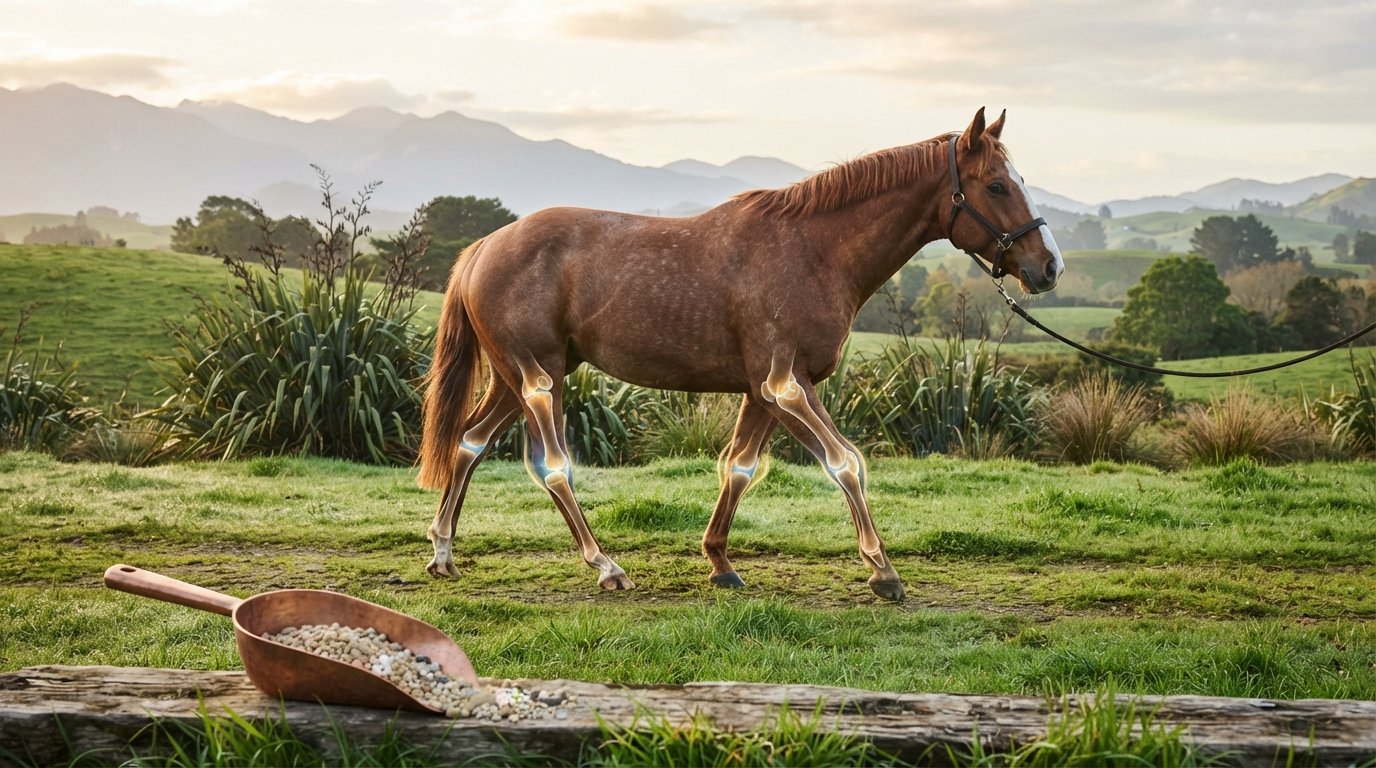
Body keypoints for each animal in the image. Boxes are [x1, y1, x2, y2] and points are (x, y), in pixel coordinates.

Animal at [416, 107, 1063, 601]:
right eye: (997, 185)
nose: (1048, 265)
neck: (814, 251)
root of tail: (483, 247)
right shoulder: (786, 385)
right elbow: (846, 462)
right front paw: (883, 571)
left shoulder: (764, 391)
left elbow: (739, 468)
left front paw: (720, 563)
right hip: (538, 382)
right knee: (551, 467)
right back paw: (606, 566)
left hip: (515, 379)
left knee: (469, 442)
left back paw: (443, 552)